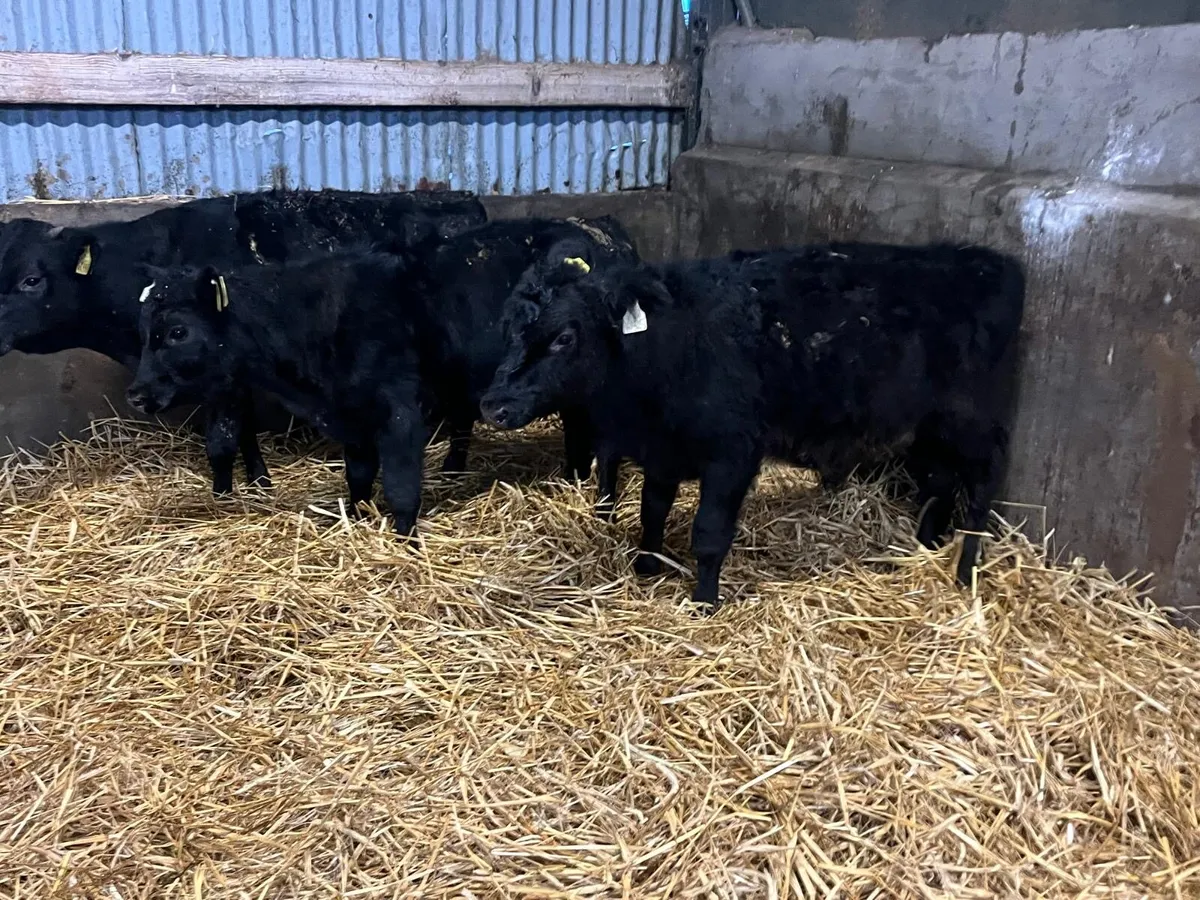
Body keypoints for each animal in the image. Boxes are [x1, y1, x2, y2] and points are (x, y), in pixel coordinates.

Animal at [0, 189, 487, 494]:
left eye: (31, 279)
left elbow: (222, 439)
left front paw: (228, 493)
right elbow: (243, 434)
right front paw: (257, 481)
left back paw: (451, 466)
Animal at [124, 216, 639, 533]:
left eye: (176, 331)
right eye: (143, 329)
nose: (137, 394)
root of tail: (601, 229)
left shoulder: (401, 411)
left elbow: (401, 486)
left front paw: (404, 538)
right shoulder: (352, 418)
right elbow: (357, 476)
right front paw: (355, 518)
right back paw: (570, 478)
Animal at [479, 242, 1026, 613]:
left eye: (564, 337)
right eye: (507, 327)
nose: (494, 405)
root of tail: (986, 260)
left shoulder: (732, 453)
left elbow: (709, 532)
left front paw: (703, 600)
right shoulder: (662, 451)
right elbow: (651, 512)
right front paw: (646, 567)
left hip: (974, 420)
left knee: (983, 482)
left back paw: (965, 569)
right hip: (929, 426)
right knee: (937, 481)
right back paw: (925, 547)